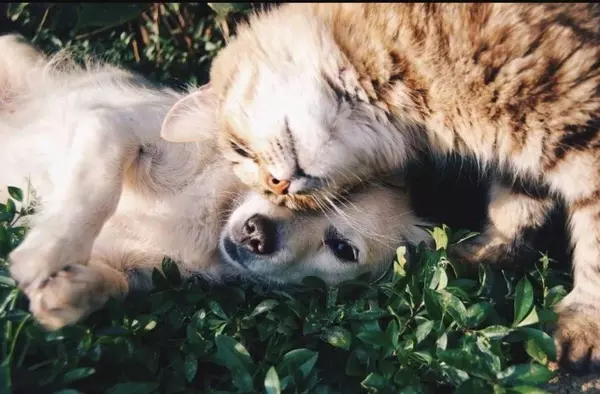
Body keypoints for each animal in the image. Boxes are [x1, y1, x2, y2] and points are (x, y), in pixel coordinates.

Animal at [1, 33, 432, 330]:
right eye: (277, 181)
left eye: (343, 249)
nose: (258, 233)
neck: (212, 217)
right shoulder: (112, 126)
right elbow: (96, 191)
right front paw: (47, 252)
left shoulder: (139, 269)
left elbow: (118, 285)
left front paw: (69, 293)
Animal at [159, 3, 600, 372]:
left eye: (239, 149)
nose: (278, 186)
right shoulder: (524, 155)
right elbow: (514, 207)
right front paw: (483, 253)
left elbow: (593, 245)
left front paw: (583, 326)